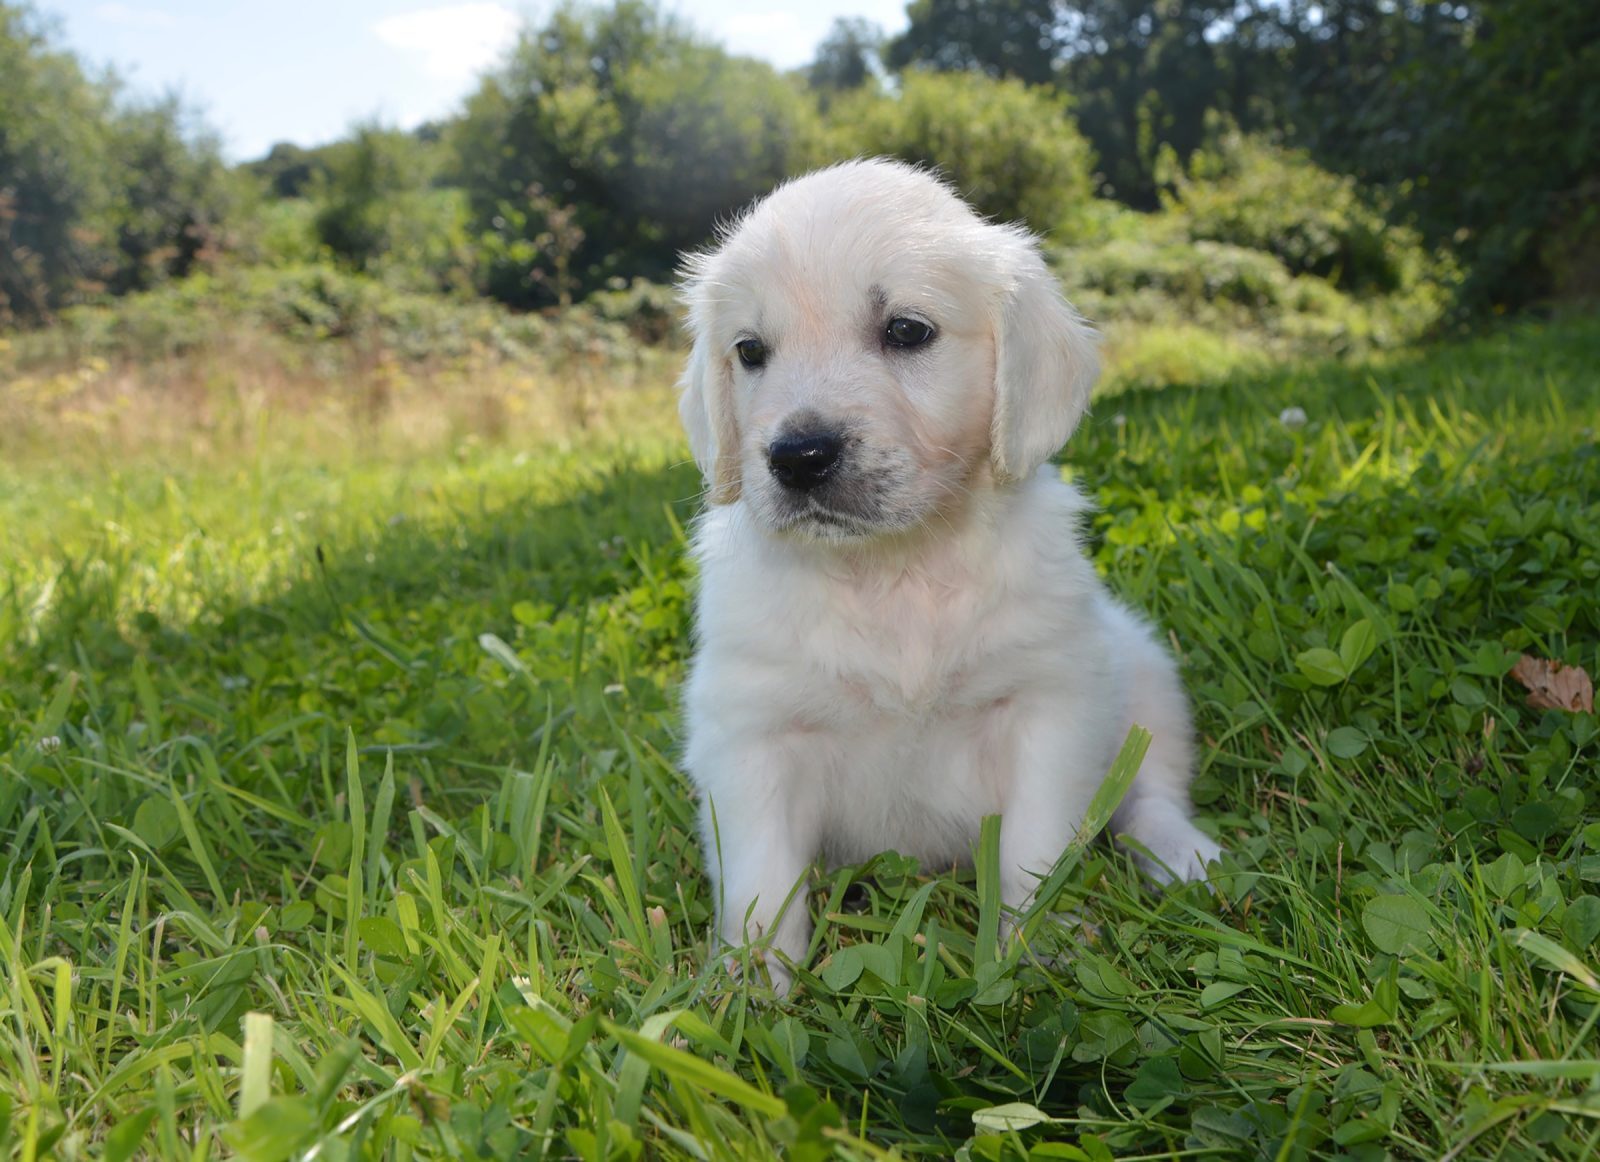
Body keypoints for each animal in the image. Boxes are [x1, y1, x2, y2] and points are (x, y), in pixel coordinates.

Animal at [678, 159, 1222, 992]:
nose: (798, 456)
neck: (896, 567)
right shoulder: (748, 734)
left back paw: (1184, 855)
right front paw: (750, 986)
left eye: (907, 331)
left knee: (1150, 792)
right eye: (749, 350)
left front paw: (1035, 951)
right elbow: (761, 878)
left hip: (1144, 673)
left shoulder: (1051, 704)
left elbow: (1035, 850)